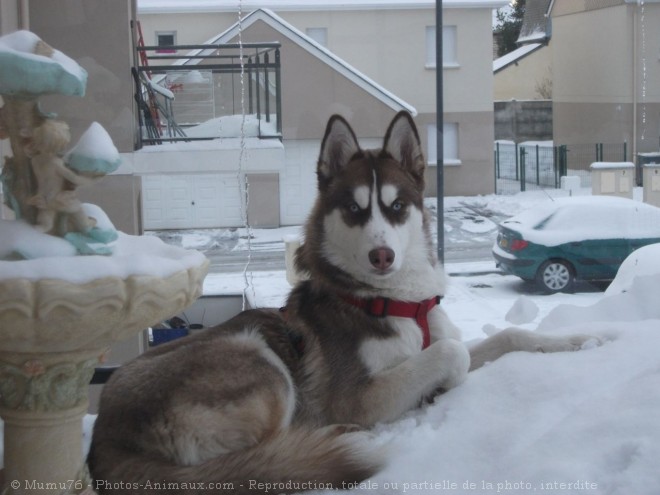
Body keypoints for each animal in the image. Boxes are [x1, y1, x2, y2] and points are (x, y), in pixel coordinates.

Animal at [86, 113, 592, 495]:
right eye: (353, 209)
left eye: (396, 206)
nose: (381, 255)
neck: (395, 303)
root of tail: (105, 441)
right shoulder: (358, 396)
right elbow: (452, 353)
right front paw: (444, 383)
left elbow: (508, 335)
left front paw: (584, 339)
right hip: (259, 360)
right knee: (266, 458)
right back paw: (328, 443)